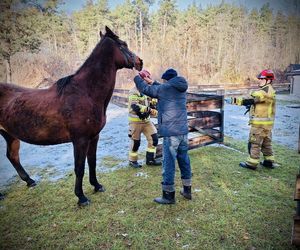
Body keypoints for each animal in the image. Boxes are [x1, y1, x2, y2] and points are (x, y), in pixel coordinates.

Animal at [0, 26, 143, 205]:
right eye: (123, 44)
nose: (140, 62)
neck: (85, 92)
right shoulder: (80, 140)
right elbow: (79, 168)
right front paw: (81, 197)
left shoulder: (93, 137)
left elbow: (92, 162)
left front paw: (97, 186)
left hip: (10, 135)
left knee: (12, 156)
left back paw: (30, 181)